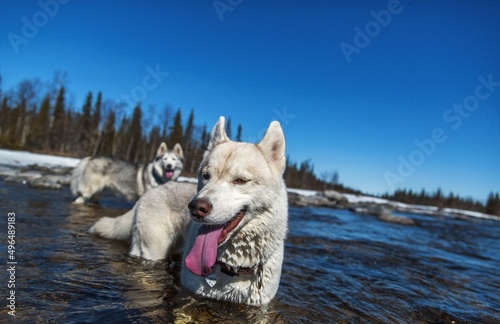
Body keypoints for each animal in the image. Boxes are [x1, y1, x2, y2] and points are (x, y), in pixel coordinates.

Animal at [88, 117, 288, 306]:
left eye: (240, 180)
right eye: (206, 176)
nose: (196, 208)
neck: (233, 268)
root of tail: (149, 192)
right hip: (151, 251)